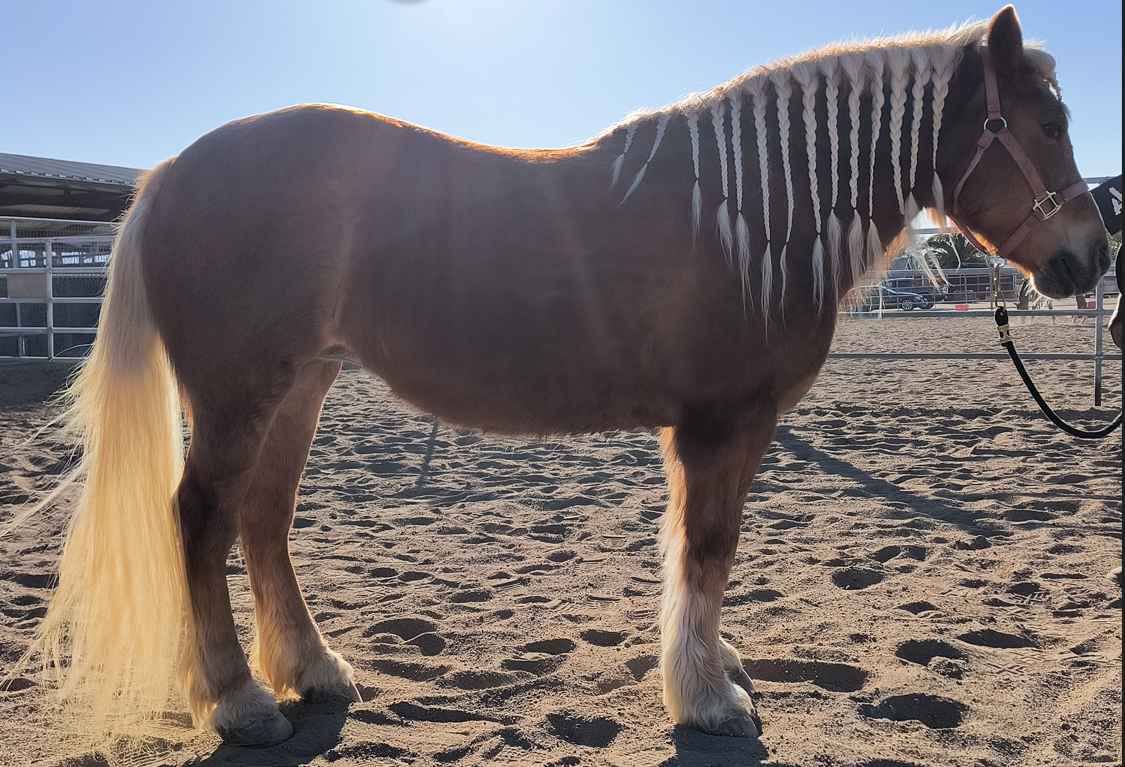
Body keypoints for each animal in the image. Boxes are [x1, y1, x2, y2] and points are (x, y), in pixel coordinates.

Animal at [33, 5, 1109, 747]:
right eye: (1041, 124)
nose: (1091, 258)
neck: (753, 210)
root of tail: (174, 171)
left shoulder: (715, 429)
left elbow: (693, 550)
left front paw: (710, 668)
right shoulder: (721, 424)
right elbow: (707, 549)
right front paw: (707, 695)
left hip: (301, 385)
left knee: (263, 520)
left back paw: (314, 667)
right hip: (238, 392)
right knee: (201, 519)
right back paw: (240, 698)